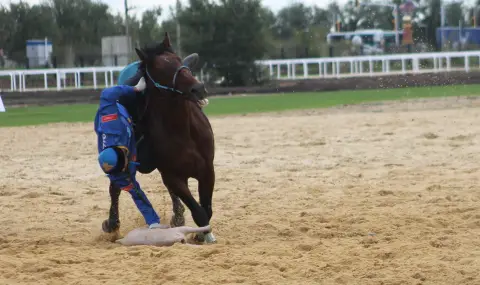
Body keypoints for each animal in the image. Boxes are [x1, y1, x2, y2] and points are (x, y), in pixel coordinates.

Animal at [102, 32, 217, 242]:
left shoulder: (207, 169)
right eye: (160, 70)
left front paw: (200, 234)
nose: (198, 88)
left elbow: (207, 208)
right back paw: (112, 223)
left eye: (179, 60)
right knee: (115, 188)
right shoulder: (173, 174)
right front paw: (203, 234)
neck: (181, 130)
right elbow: (199, 211)